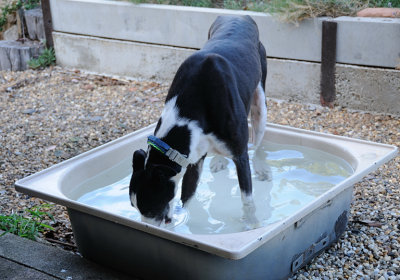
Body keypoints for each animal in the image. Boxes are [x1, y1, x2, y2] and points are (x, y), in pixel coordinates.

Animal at [130, 15, 270, 229]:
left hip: (260, 104)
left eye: (150, 209)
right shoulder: (193, 157)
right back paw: (220, 161)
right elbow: (187, 195)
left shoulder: (239, 154)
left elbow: (247, 198)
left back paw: (261, 166)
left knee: (259, 139)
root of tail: (239, 16)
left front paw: (252, 224)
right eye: (134, 207)